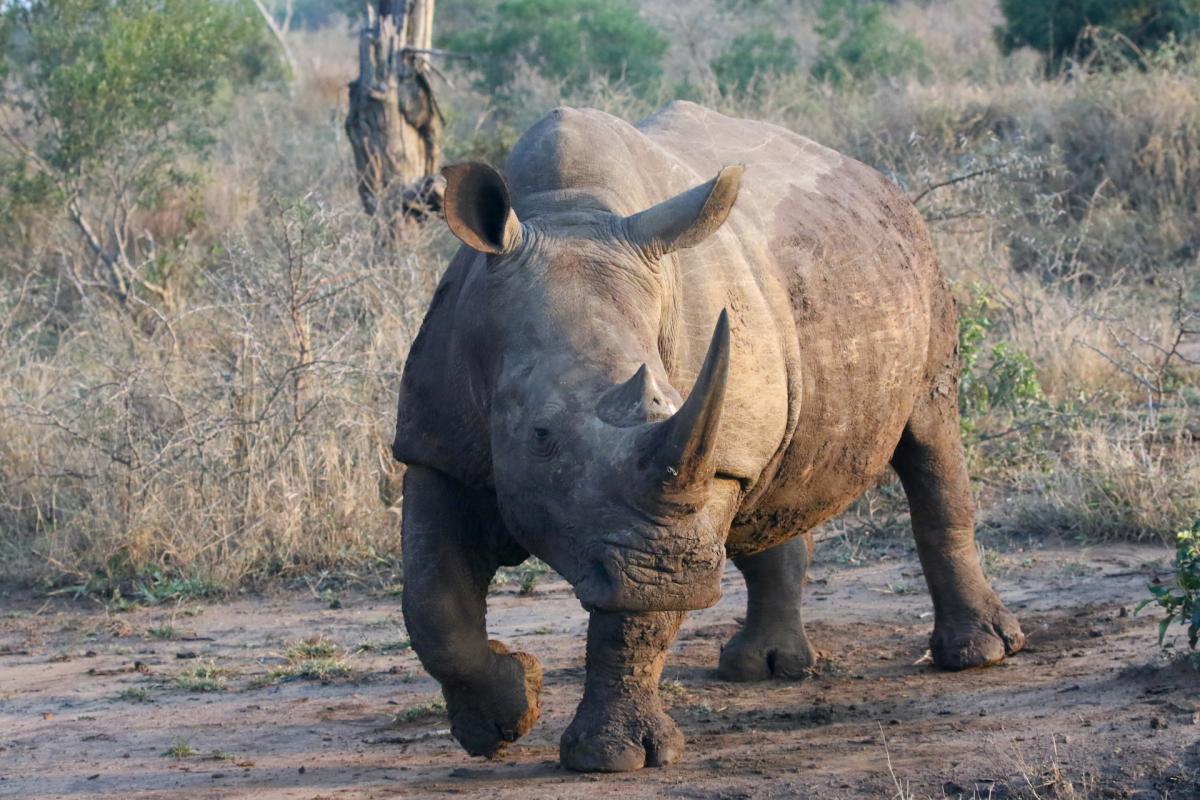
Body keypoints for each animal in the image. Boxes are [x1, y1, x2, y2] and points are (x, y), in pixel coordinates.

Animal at [392, 101, 1025, 773]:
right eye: (540, 434)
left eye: (665, 401)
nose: (675, 574)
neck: (569, 213)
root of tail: (877, 179)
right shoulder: (436, 445)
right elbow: (432, 602)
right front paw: (502, 717)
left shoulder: (704, 469)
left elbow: (635, 619)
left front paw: (614, 758)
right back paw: (765, 668)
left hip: (918, 265)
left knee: (930, 434)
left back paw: (979, 654)